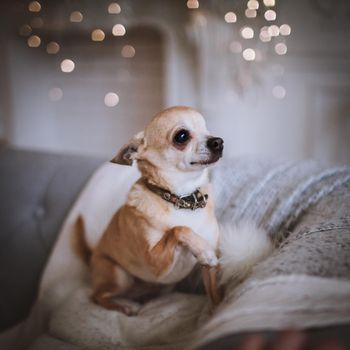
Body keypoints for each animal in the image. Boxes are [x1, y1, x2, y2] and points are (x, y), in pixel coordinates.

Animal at [74, 106, 224, 314]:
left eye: (207, 129)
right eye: (182, 136)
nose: (218, 141)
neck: (182, 200)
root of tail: (92, 255)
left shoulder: (208, 270)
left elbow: (214, 294)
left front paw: (217, 312)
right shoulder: (155, 263)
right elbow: (179, 229)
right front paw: (203, 250)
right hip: (119, 275)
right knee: (97, 296)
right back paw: (124, 306)